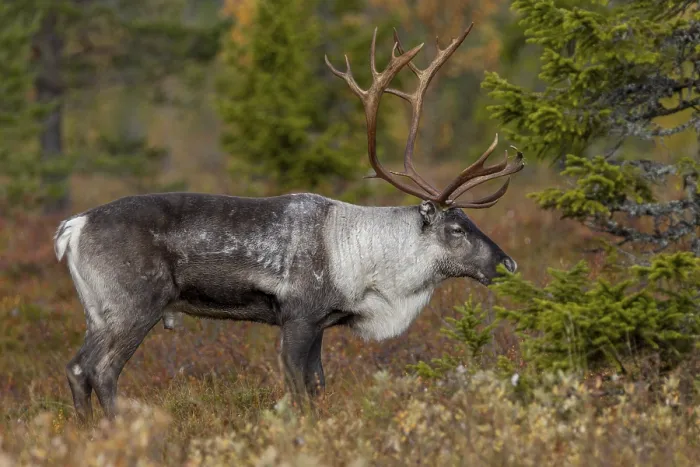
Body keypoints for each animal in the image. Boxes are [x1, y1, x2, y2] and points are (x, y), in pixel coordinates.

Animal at [54, 24, 524, 422]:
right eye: (456, 229)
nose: (507, 264)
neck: (365, 264)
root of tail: (72, 228)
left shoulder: (320, 323)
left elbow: (317, 384)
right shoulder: (298, 316)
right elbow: (299, 387)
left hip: (97, 312)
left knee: (77, 369)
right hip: (132, 306)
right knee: (101, 370)